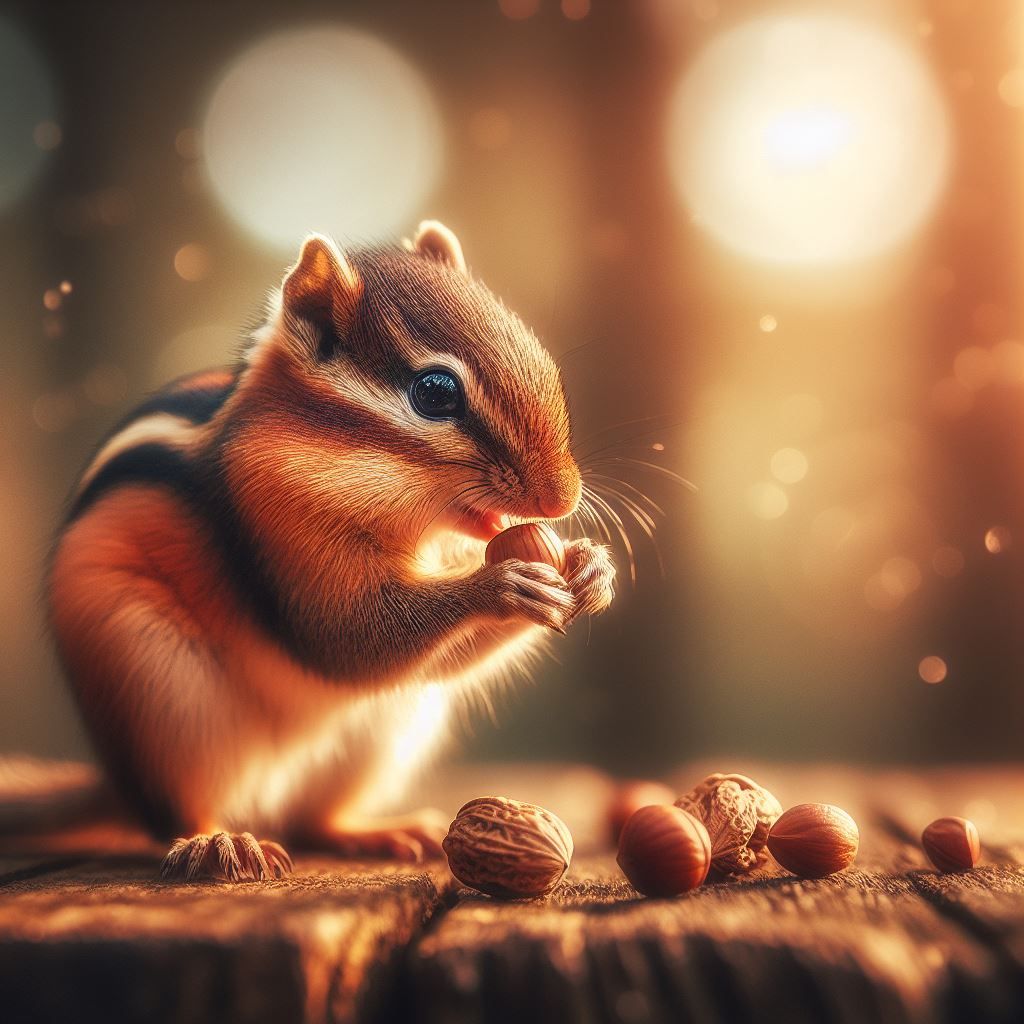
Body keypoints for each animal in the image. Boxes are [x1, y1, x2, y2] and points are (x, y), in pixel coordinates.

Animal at [36, 221, 615, 881]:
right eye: (435, 393)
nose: (562, 497)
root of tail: (116, 783)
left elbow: (432, 660)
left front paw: (592, 569)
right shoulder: (277, 531)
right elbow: (342, 640)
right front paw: (502, 585)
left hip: (383, 731)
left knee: (312, 819)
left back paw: (379, 831)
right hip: (162, 701)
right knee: (182, 809)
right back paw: (218, 843)